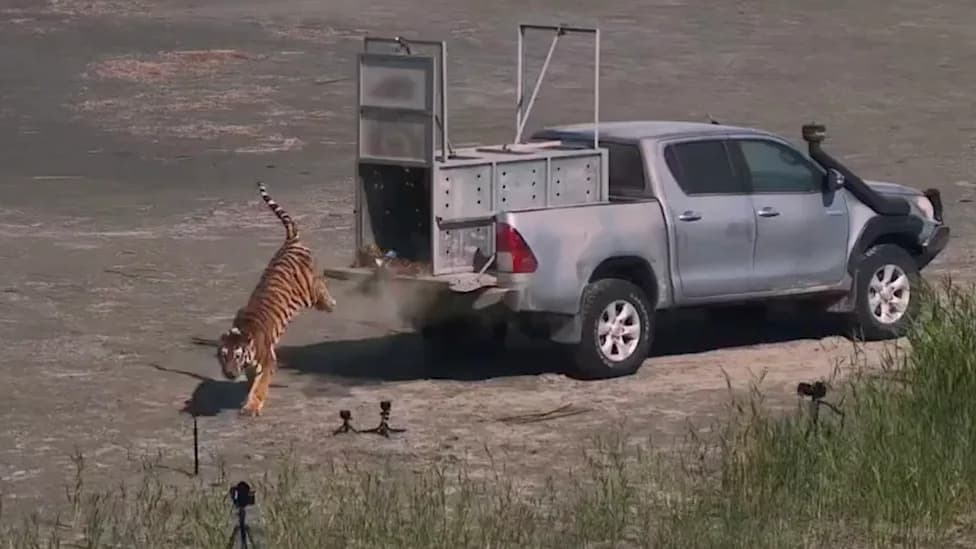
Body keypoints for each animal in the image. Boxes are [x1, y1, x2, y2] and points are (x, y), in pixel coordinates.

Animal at [217, 181, 337, 416]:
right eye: (223, 355)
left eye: (237, 356)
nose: (229, 374)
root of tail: (291, 240)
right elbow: (251, 384)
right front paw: (246, 398)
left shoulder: (267, 363)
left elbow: (259, 387)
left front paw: (251, 406)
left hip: (308, 290)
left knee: (320, 288)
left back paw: (329, 304)